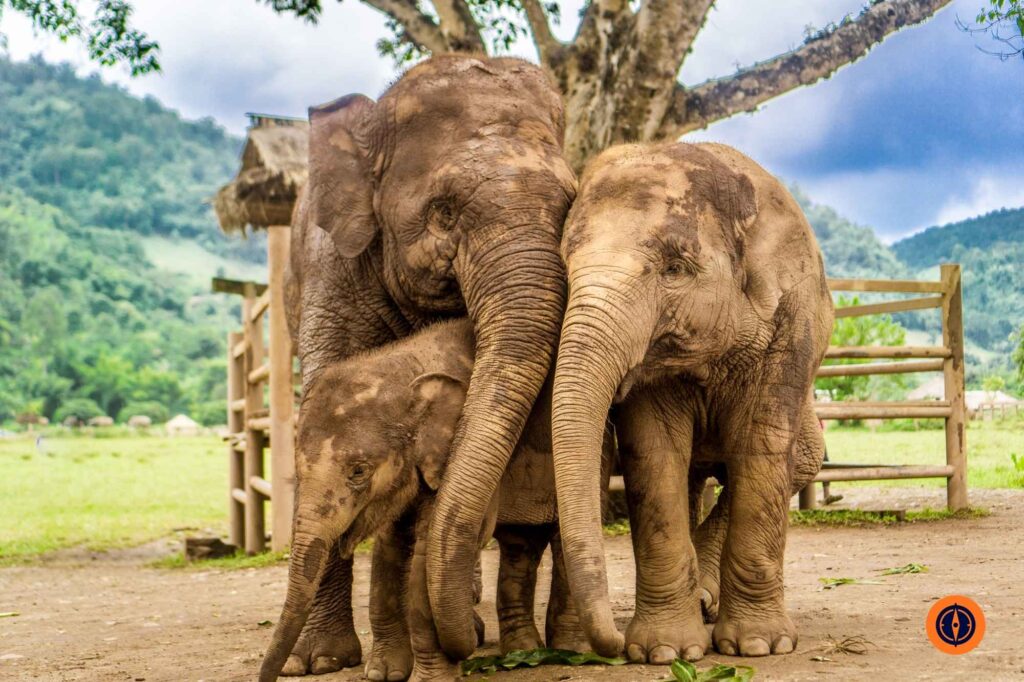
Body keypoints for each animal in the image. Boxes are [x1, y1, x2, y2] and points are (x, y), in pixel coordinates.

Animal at [260, 319, 611, 681]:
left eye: (358, 471)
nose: (272, 674)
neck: (404, 367)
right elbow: (391, 544)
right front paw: (384, 673)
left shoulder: (460, 453)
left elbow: (429, 548)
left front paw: (429, 675)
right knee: (520, 543)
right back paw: (524, 649)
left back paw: (568, 650)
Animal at [549, 142, 834, 663]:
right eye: (564, 268)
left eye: (674, 269)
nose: (611, 645)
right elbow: (654, 453)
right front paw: (666, 653)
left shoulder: (792, 322)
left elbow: (760, 447)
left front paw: (760, 646)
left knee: (800, 462)